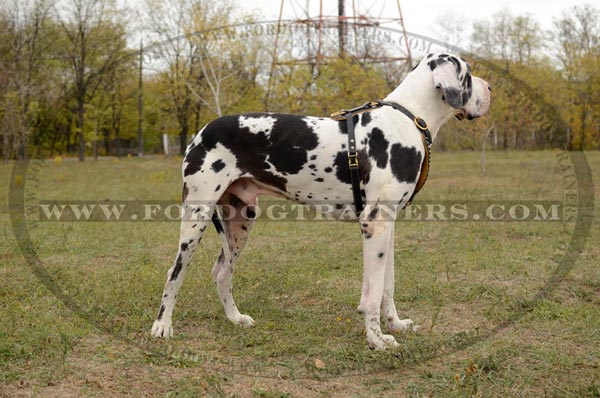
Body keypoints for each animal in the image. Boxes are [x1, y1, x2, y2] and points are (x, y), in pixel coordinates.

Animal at [151, 53, 492, 352]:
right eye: (469, 74)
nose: (490, 88)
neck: (408, 119)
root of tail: (201, 132)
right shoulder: (375, 225)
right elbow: (371, 295)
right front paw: (376, 340)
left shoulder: (389, 226)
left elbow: (387, 285)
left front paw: (394, 324)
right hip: (196, 216)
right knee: (174, 273)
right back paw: (162, 326)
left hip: (240, 221)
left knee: (222, 272)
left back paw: (235, 318)